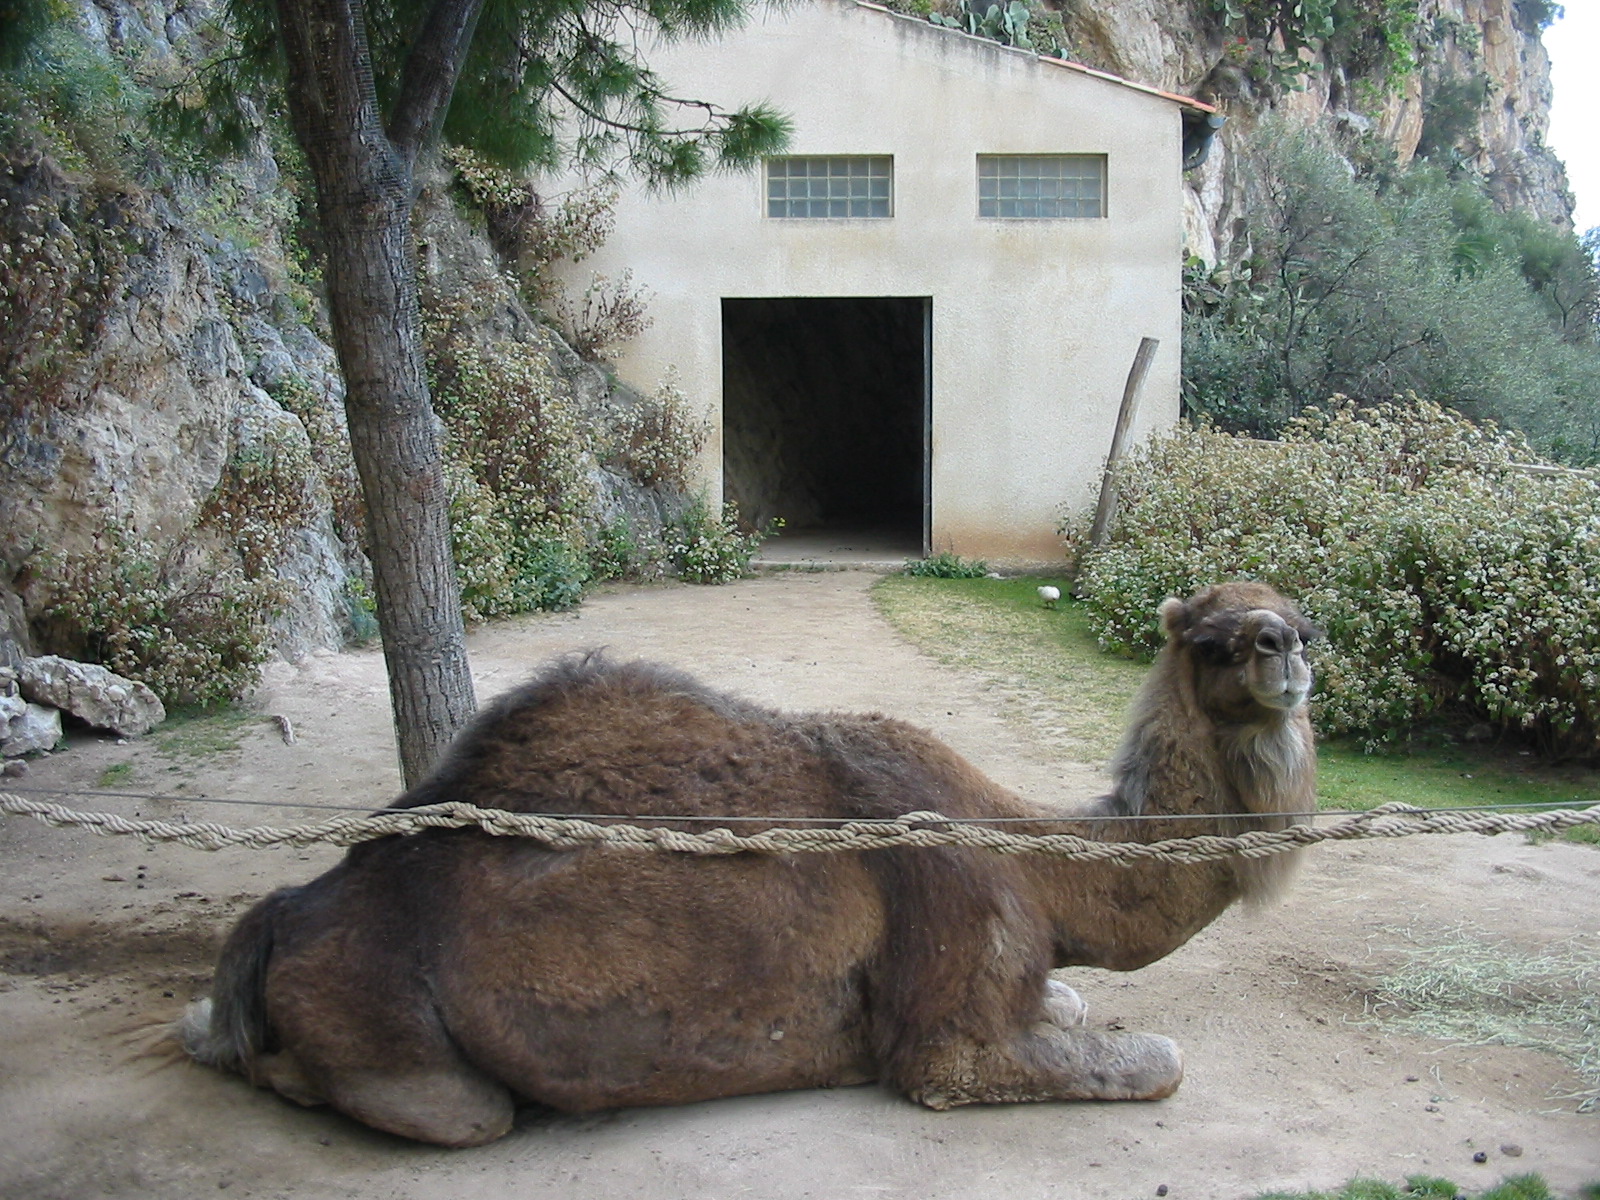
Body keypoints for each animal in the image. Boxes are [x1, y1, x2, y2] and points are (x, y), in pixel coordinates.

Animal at [177, 580, 1320, 1146]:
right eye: (1213, 640)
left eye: (1300, 621)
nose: (1284, 651)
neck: (1036, 861)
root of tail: (292, 909)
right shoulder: (948, 1028)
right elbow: (1151, 1061)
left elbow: (1074, 1004)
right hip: (396, 1036)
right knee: (449, 1107)